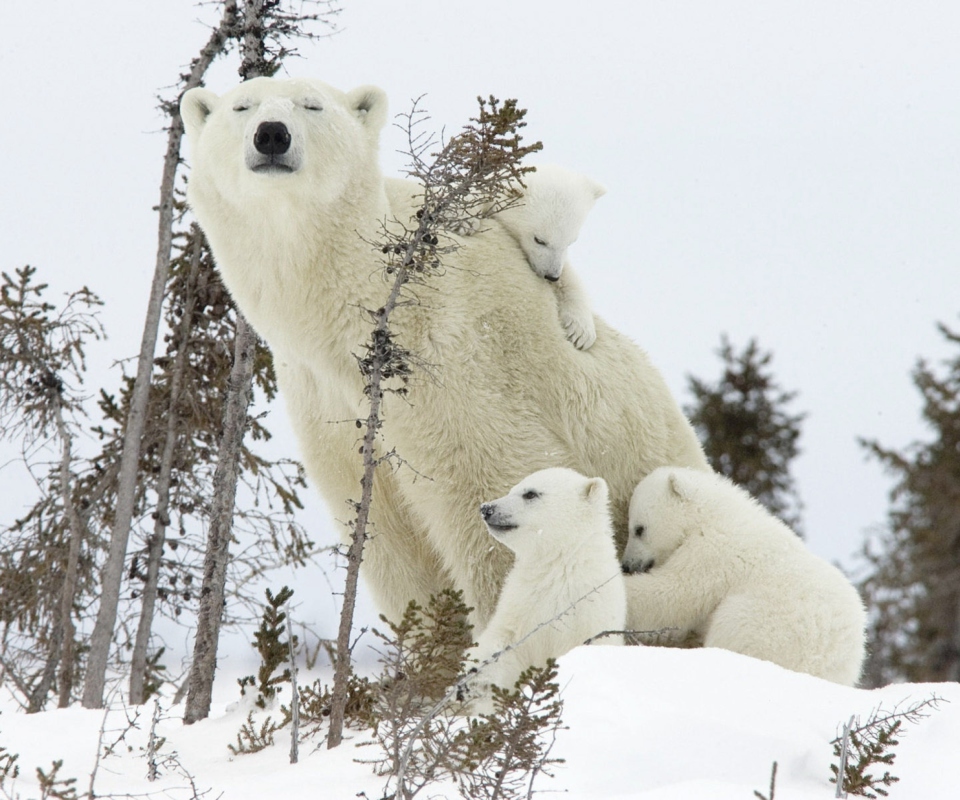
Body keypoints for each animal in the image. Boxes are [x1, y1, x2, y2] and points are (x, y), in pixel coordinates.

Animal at [180, 76, 708, 624]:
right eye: (242, 106)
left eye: (312, 105)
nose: (271, 135)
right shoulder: (326, 403)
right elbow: (391, 544)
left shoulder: (454, 366)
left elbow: (495, 502)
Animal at [470, 468, 624, 700]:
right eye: (512, 489)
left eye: (530, 493)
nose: (487, 508)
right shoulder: (520, 605)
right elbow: (503, 643)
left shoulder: (591, 615)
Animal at [624, 466, 872, 684]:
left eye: (639, 529)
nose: (627, 565)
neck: (713, 514)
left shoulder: (714, 553)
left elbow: (674, 595)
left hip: (763, 625)